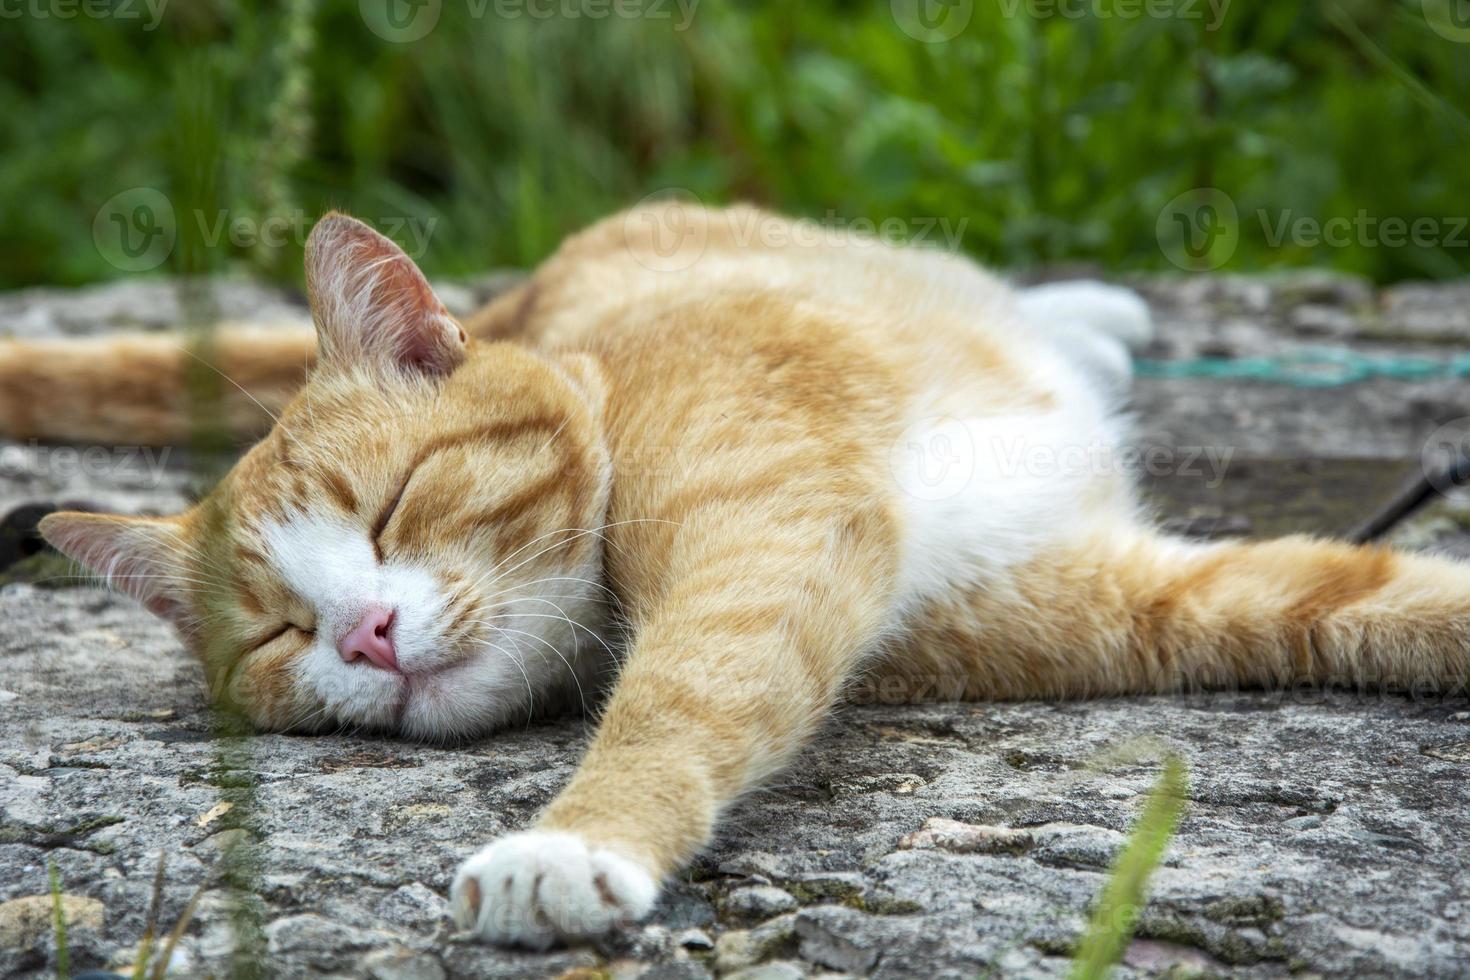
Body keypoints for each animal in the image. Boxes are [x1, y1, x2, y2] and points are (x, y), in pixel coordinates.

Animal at [2, 207, 1470, 952]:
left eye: (395, 504)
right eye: (275, 636)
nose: (361, 633)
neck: (596, 377)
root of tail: (529, 290)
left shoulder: (762, 535)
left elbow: (672, 698)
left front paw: (570, 837)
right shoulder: (1112, 594)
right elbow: (1345, 601)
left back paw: (1088, 315)